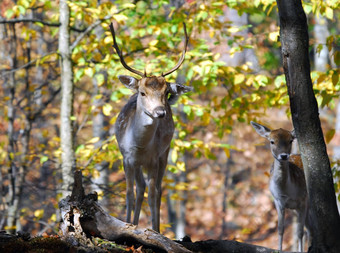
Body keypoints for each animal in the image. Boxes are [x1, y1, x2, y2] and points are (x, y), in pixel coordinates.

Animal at [110, 22, 193, 232]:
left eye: (165, 92)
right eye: (142, 92)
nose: (160, 112)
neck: (140, 146)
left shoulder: (154, 159)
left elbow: (154, 194)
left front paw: (156, 230)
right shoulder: (127, 158)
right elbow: (129, 194)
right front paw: (126, 224)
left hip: (165, 153)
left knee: (157, 190)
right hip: (138, 163)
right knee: (140, 188)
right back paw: (134, 223)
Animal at [250, 122, 310, 251]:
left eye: (290, 140)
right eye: (272, 141)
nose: (283, 156)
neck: (287, 191)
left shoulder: (303, 200)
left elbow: (299, 232)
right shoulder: (278, 201)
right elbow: (280, 229)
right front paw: (279, 249)